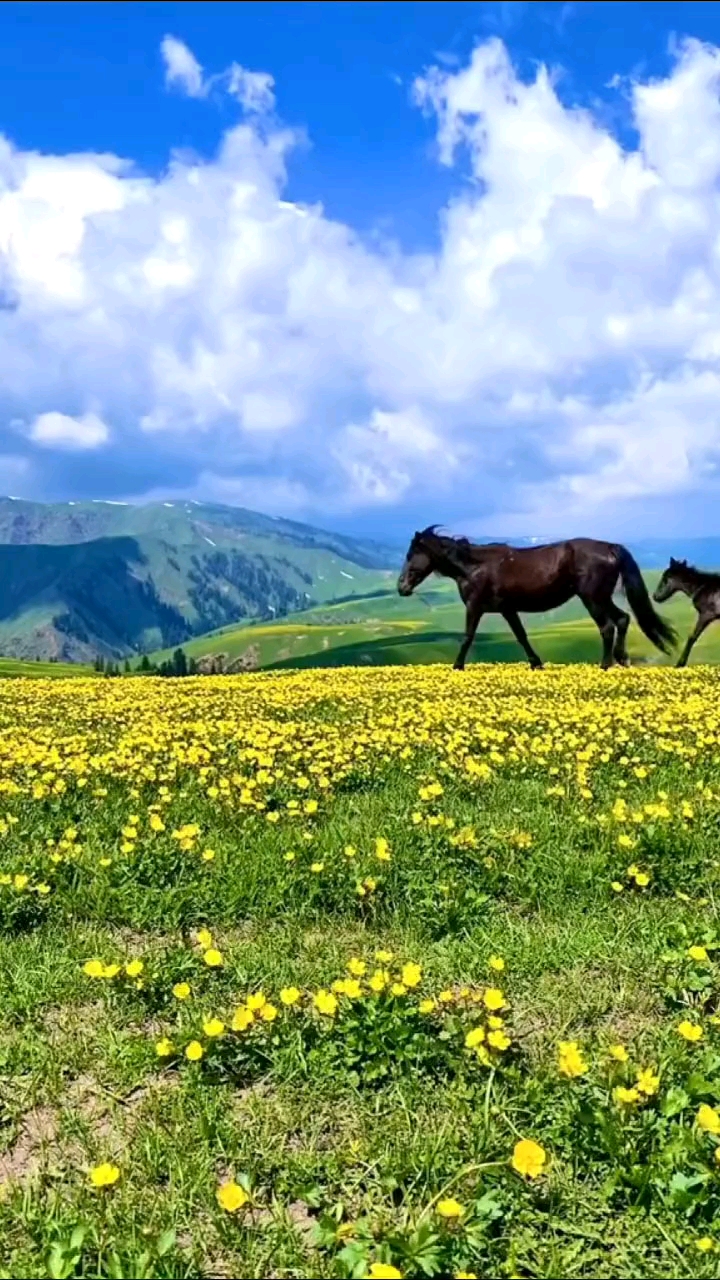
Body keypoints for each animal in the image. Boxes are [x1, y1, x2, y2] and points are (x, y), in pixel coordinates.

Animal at [397, 527, 671, 670]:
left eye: (411, 554)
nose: (401, 587)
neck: (473, 567)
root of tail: (610, 547)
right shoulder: (507, 609)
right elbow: (521, 636)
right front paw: (536, 663)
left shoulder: (475, 607)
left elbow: (467, 637)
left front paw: (457, 666)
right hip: (602, 598)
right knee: (622, 619)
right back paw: (621, 659)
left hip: (592, 598)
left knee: (607, 626)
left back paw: (604, 665)